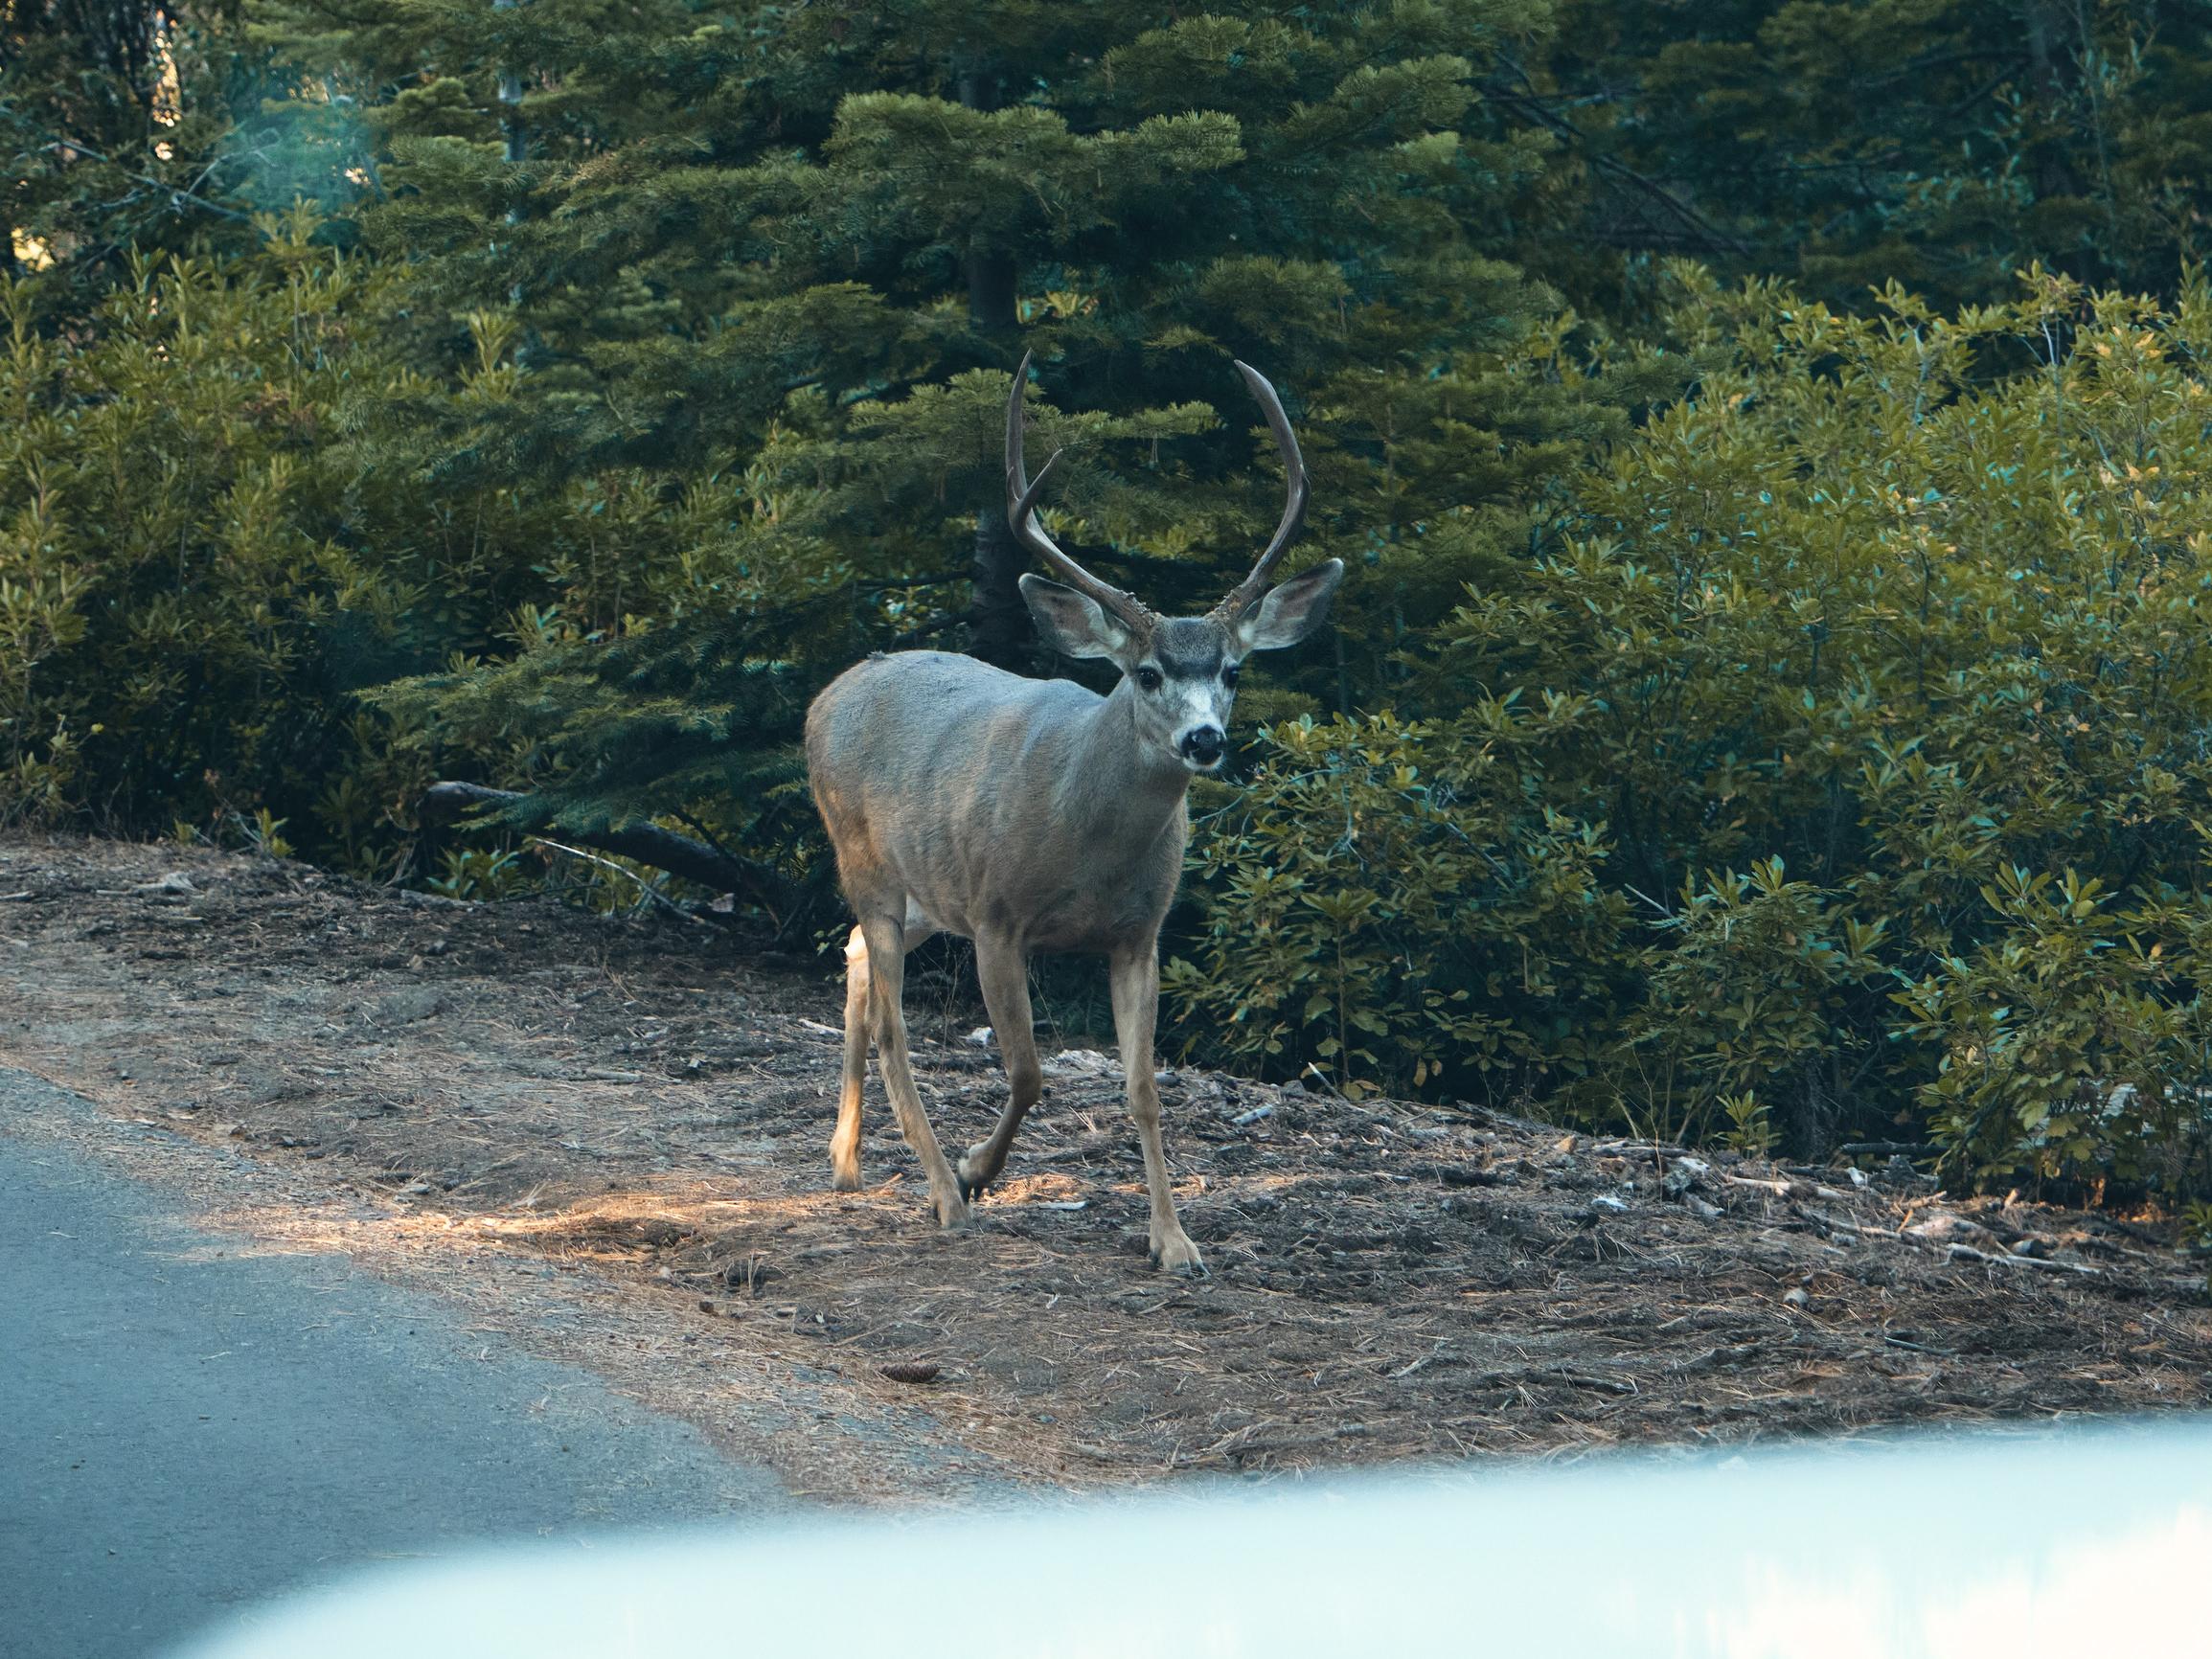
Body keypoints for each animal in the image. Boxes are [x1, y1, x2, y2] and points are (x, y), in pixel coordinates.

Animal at [802, 355, 1342, 1274]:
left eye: (1232, 670)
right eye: (1148, 673)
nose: (1204, 740)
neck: (1087, 842)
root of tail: (826, 695)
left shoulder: (1139, 934)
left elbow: (1143, 1089)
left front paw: (1175, 1241)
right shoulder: (995, 915)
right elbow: (1027, 1072)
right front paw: (975, 1170)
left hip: (921, 891)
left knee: (852, 957)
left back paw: (846, 1160)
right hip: (866, 860)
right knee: (892, 1023)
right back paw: (942, 1194)